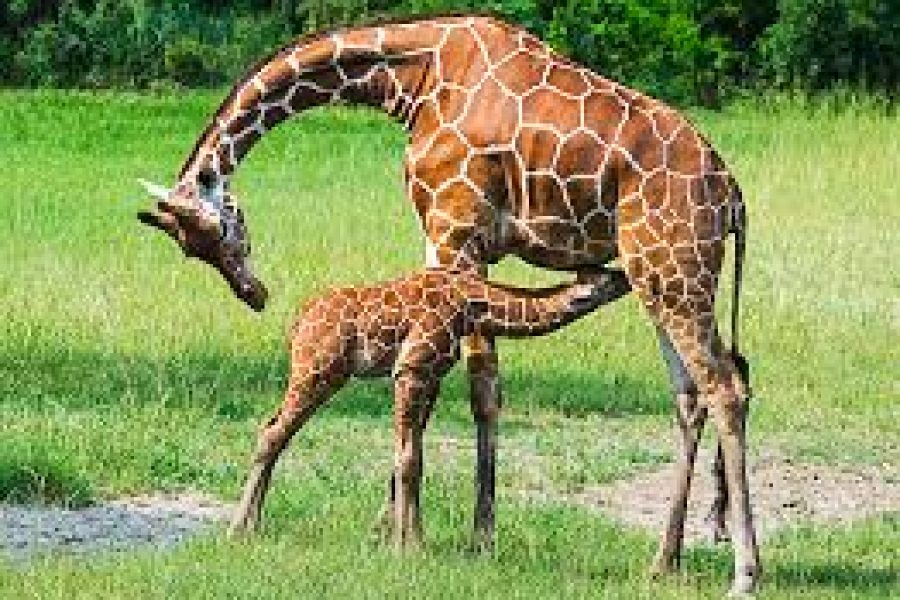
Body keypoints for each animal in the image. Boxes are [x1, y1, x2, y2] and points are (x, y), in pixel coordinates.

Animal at [228, 267, 627, 546]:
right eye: (608, 277)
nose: (626, 275)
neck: (470, 306)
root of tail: (298, 322)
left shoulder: (430, 375)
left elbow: (414, 457)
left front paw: (405, 540)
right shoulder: (411, 369)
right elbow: (408, 459)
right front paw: (409, 548)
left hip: (315, 372)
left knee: (274, 430)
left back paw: (253, 527)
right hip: (319, 369)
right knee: (273, 433)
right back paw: (236, 529)